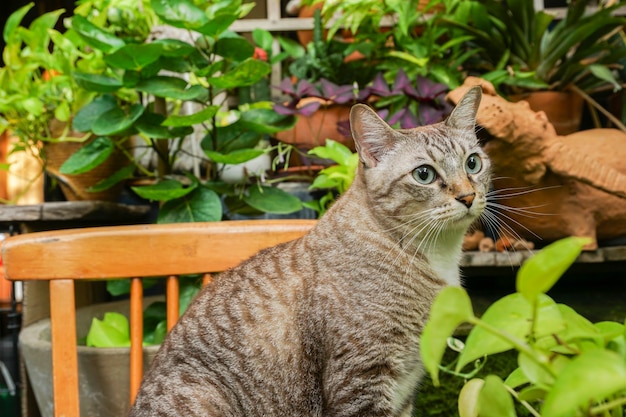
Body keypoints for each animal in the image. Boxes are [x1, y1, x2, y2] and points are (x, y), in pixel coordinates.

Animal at [128, 85, 488, 416]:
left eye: (473, 163)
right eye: (424, 174)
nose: (468, 196)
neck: (436, 257)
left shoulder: (404, 389)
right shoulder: (362, 382)